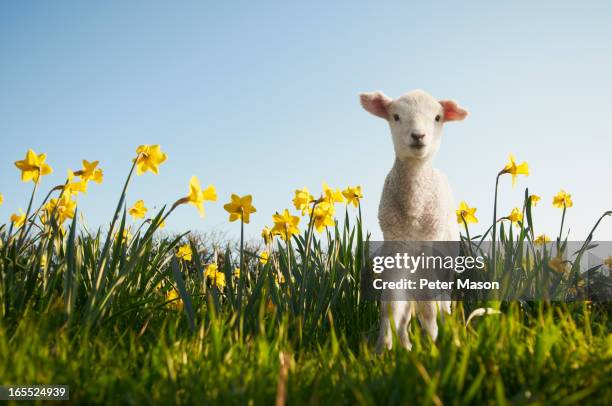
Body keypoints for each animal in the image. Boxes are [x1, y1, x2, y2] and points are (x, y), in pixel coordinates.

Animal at [358, 89, 468, 352]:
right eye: (396, 116)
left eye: (437, 117)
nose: (418, 136)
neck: (413, 214)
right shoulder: (394, 248)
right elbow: (390, 304)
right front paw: (384, 348)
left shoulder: (429, 249)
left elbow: (428, 306)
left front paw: (433, 342)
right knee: (408, 305)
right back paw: (405, 342)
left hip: (446, 259)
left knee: (442, 301)